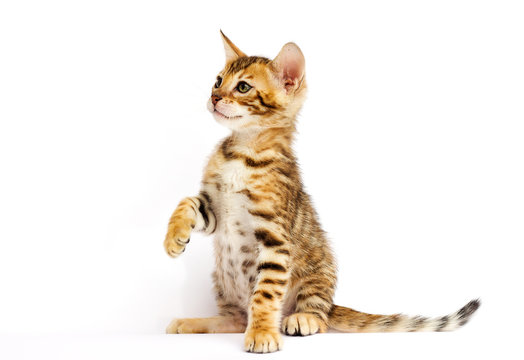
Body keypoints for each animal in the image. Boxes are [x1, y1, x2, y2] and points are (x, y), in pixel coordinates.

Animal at [164, 32, 478, 352]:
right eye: (217, 80)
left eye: (242, 87)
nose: (214, 97)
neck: (242, 151)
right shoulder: (215, 209)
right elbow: (186, 202)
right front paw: (174, 238)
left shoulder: (274, 236)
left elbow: (265, 294)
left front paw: (262, 333)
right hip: (223, 284)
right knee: (238, 319)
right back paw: (194, 322)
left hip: (319, 273)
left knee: (317, 315)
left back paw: (301, 318)